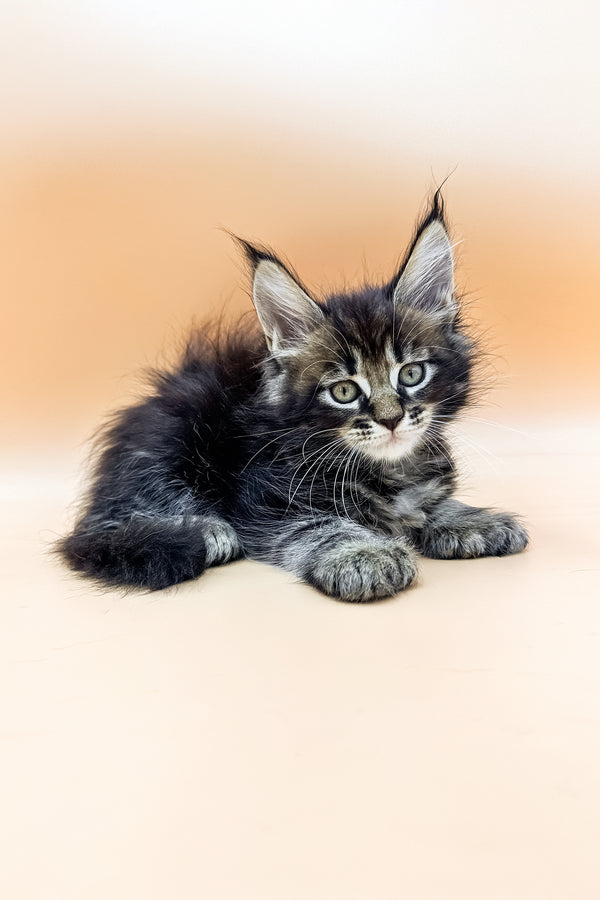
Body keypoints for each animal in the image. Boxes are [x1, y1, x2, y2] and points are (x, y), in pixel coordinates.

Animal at [58, 200, 528, 600]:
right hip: (174, 435)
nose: (391, 419)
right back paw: (206, 530)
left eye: (411, 374)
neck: (390, 469)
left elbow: (430, 506)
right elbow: (324, 525)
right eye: (344, 391)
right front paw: (364, 554)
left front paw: (469, 518)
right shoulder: (265, 500)